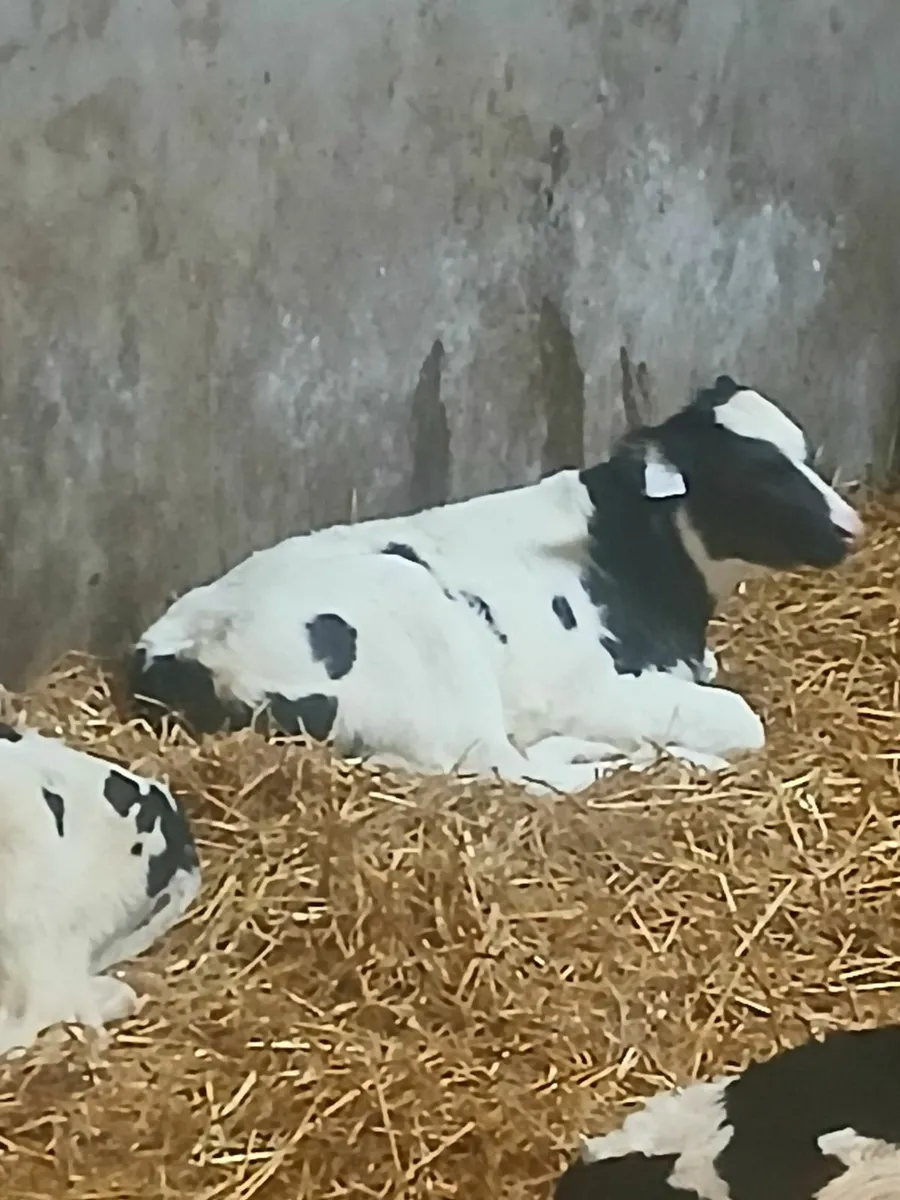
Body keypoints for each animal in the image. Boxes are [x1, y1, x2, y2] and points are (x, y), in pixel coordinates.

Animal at [126, 374, 863, 795]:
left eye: (803, 450)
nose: (851, 528)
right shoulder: (593, 689)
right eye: (756, 473)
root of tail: (176, 648)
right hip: (422, 621)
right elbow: (741, 721)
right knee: (507, 766)